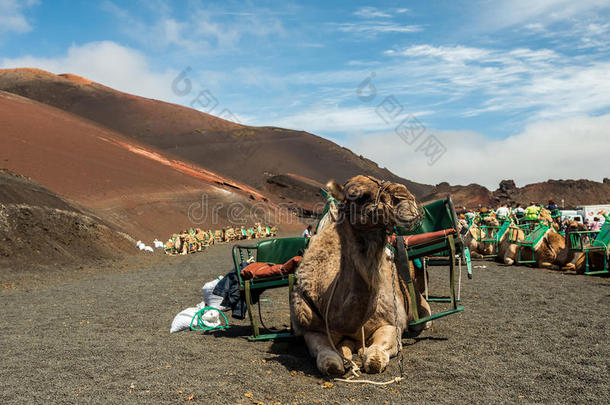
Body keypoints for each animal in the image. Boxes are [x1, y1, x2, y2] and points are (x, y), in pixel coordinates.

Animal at [288, 175, 428, 374]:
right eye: (357, 195)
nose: (406, 197)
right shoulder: (311, 330)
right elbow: (329, 361)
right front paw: (342, 359)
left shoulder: (392, 323)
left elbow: (374, 359)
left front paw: (366, 354)